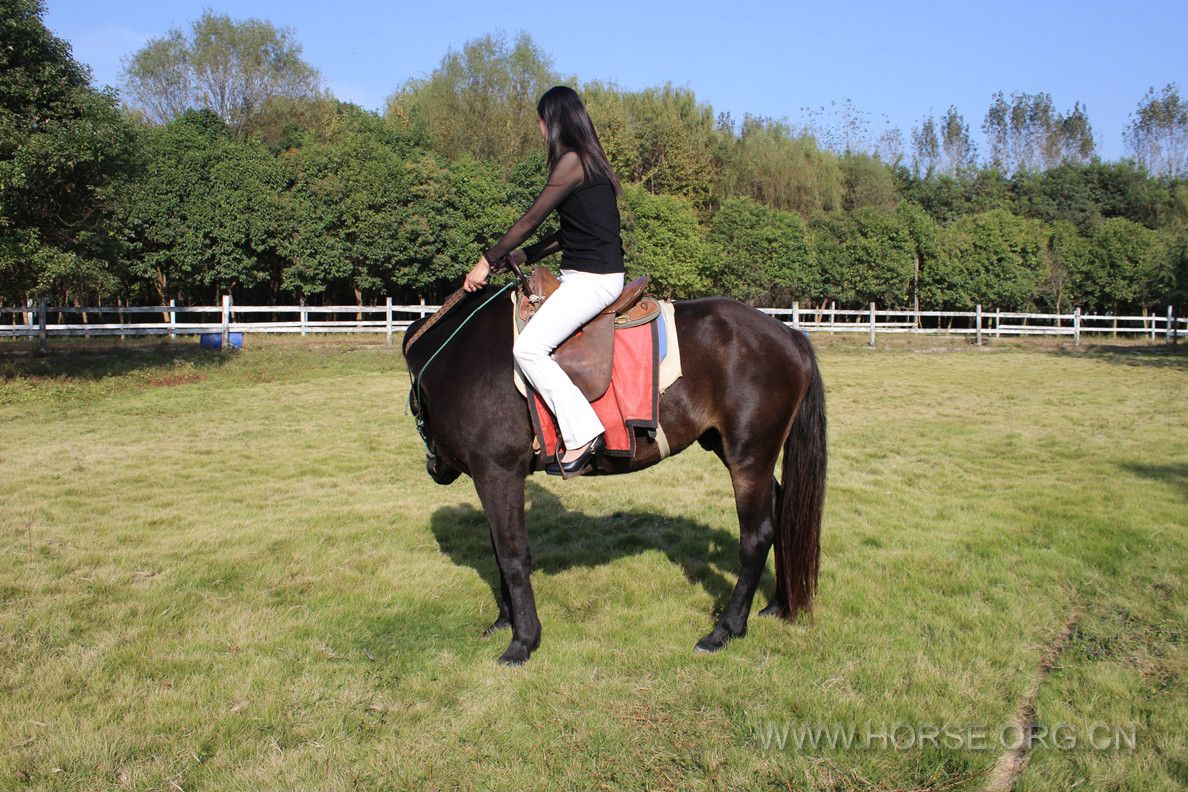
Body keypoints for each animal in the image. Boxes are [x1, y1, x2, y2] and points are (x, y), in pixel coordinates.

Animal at [401, 281, 826, 664]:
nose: (434, 467)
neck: (454, 354)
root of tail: (788, 333)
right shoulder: (491, 478)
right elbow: (498, 550)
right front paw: (505, 621)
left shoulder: (498, 471)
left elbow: (512, 555)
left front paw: (523, 640)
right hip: (738, 452)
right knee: (782, 513)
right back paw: (778, 604)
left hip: (749, 457)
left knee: (756, 537)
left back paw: (725, 630)